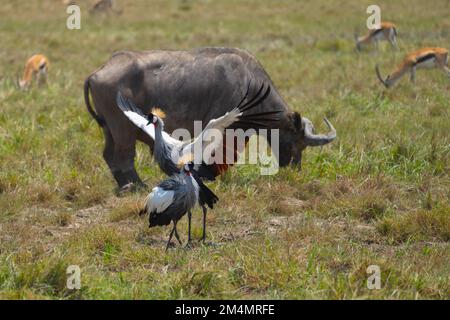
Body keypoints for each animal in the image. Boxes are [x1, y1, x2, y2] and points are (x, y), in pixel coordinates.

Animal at [84, 47, 336, 190]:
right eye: (295, 142)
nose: (295, 169)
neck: (250, 82)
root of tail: (100, 70)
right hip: (122, 131)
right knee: (123, 157)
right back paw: (135, 185)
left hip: (110, 131)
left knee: (109, 156)